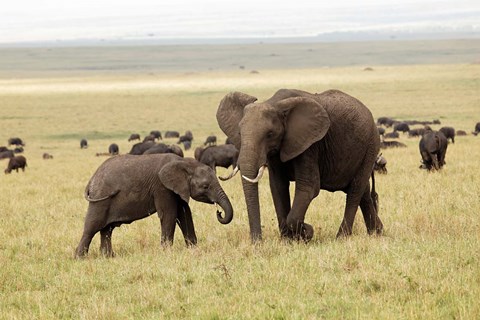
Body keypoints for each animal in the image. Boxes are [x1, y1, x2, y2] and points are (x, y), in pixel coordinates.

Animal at [75, 154, 234, 258]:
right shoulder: (162, 187)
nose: (219, 212)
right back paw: (80, 258)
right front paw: (167, 252)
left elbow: (184, 214)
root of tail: (92, 180)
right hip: (100, 200)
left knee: (106, 230)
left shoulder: (178, 189)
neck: (183, 162)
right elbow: (169, 214)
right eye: (205, 186)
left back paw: (108, 257)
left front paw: (193, 249)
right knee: (92, 227)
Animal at [218, 89, 382, 241]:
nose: (257, 242)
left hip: (370, 145)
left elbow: (308, 187)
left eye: (270, 134)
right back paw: (377, 233)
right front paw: (288, 240)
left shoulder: (310, 144)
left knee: (355, 191)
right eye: (240, 134)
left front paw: (306, 232)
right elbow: (278, 187)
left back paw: (342, 238)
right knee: (363, 191)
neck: (274, 103)